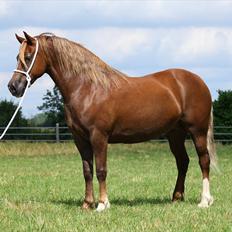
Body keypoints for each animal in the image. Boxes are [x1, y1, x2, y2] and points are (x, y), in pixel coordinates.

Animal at [8, 32, 217, 212]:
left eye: (28, 57)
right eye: (17, 57)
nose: (13, 87)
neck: (87, 88)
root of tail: (199, 81)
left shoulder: (99, 136)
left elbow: (101, 170)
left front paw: (102, 204)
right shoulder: (80, 139)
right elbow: (87, 170)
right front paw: (87, 203)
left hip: (197, 131)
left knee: (203, 161)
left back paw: (205, 200)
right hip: (175, 134)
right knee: (183, 161)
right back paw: (176, 198)